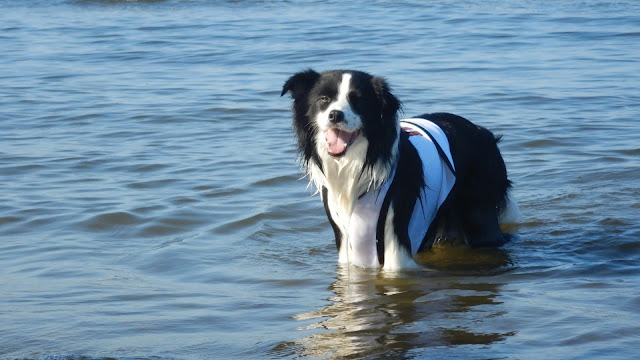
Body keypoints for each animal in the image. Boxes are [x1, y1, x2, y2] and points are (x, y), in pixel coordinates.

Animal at [282, 69, 516, 268]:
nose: (335, 115)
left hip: (479, 215)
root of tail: (484, 132)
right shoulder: (345, 235)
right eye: (324, 99)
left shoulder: (394, 234)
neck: (358, 165)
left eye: (359, 100)